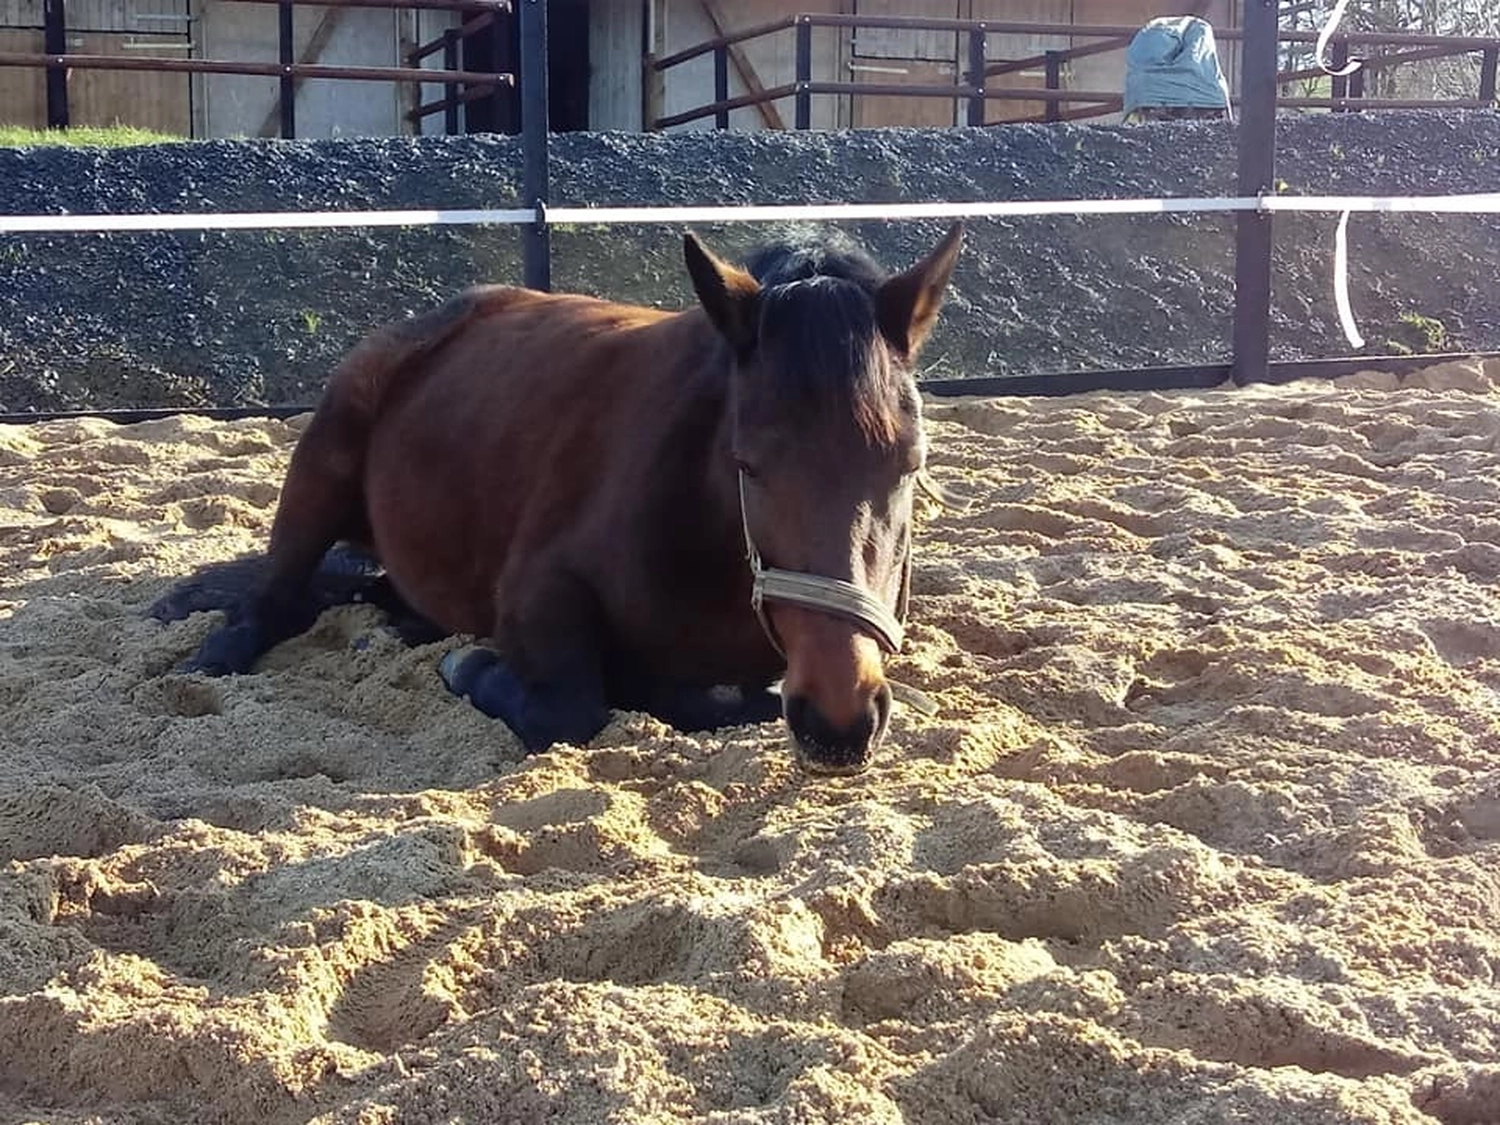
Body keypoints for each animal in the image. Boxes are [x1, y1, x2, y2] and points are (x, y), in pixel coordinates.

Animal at [150, 222, 964, 775]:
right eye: (748, 462)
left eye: (910, 464)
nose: (838, 719)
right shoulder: (537, 590)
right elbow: (572, 709)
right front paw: (471, 667)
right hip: (320, 464)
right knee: (274, 600)